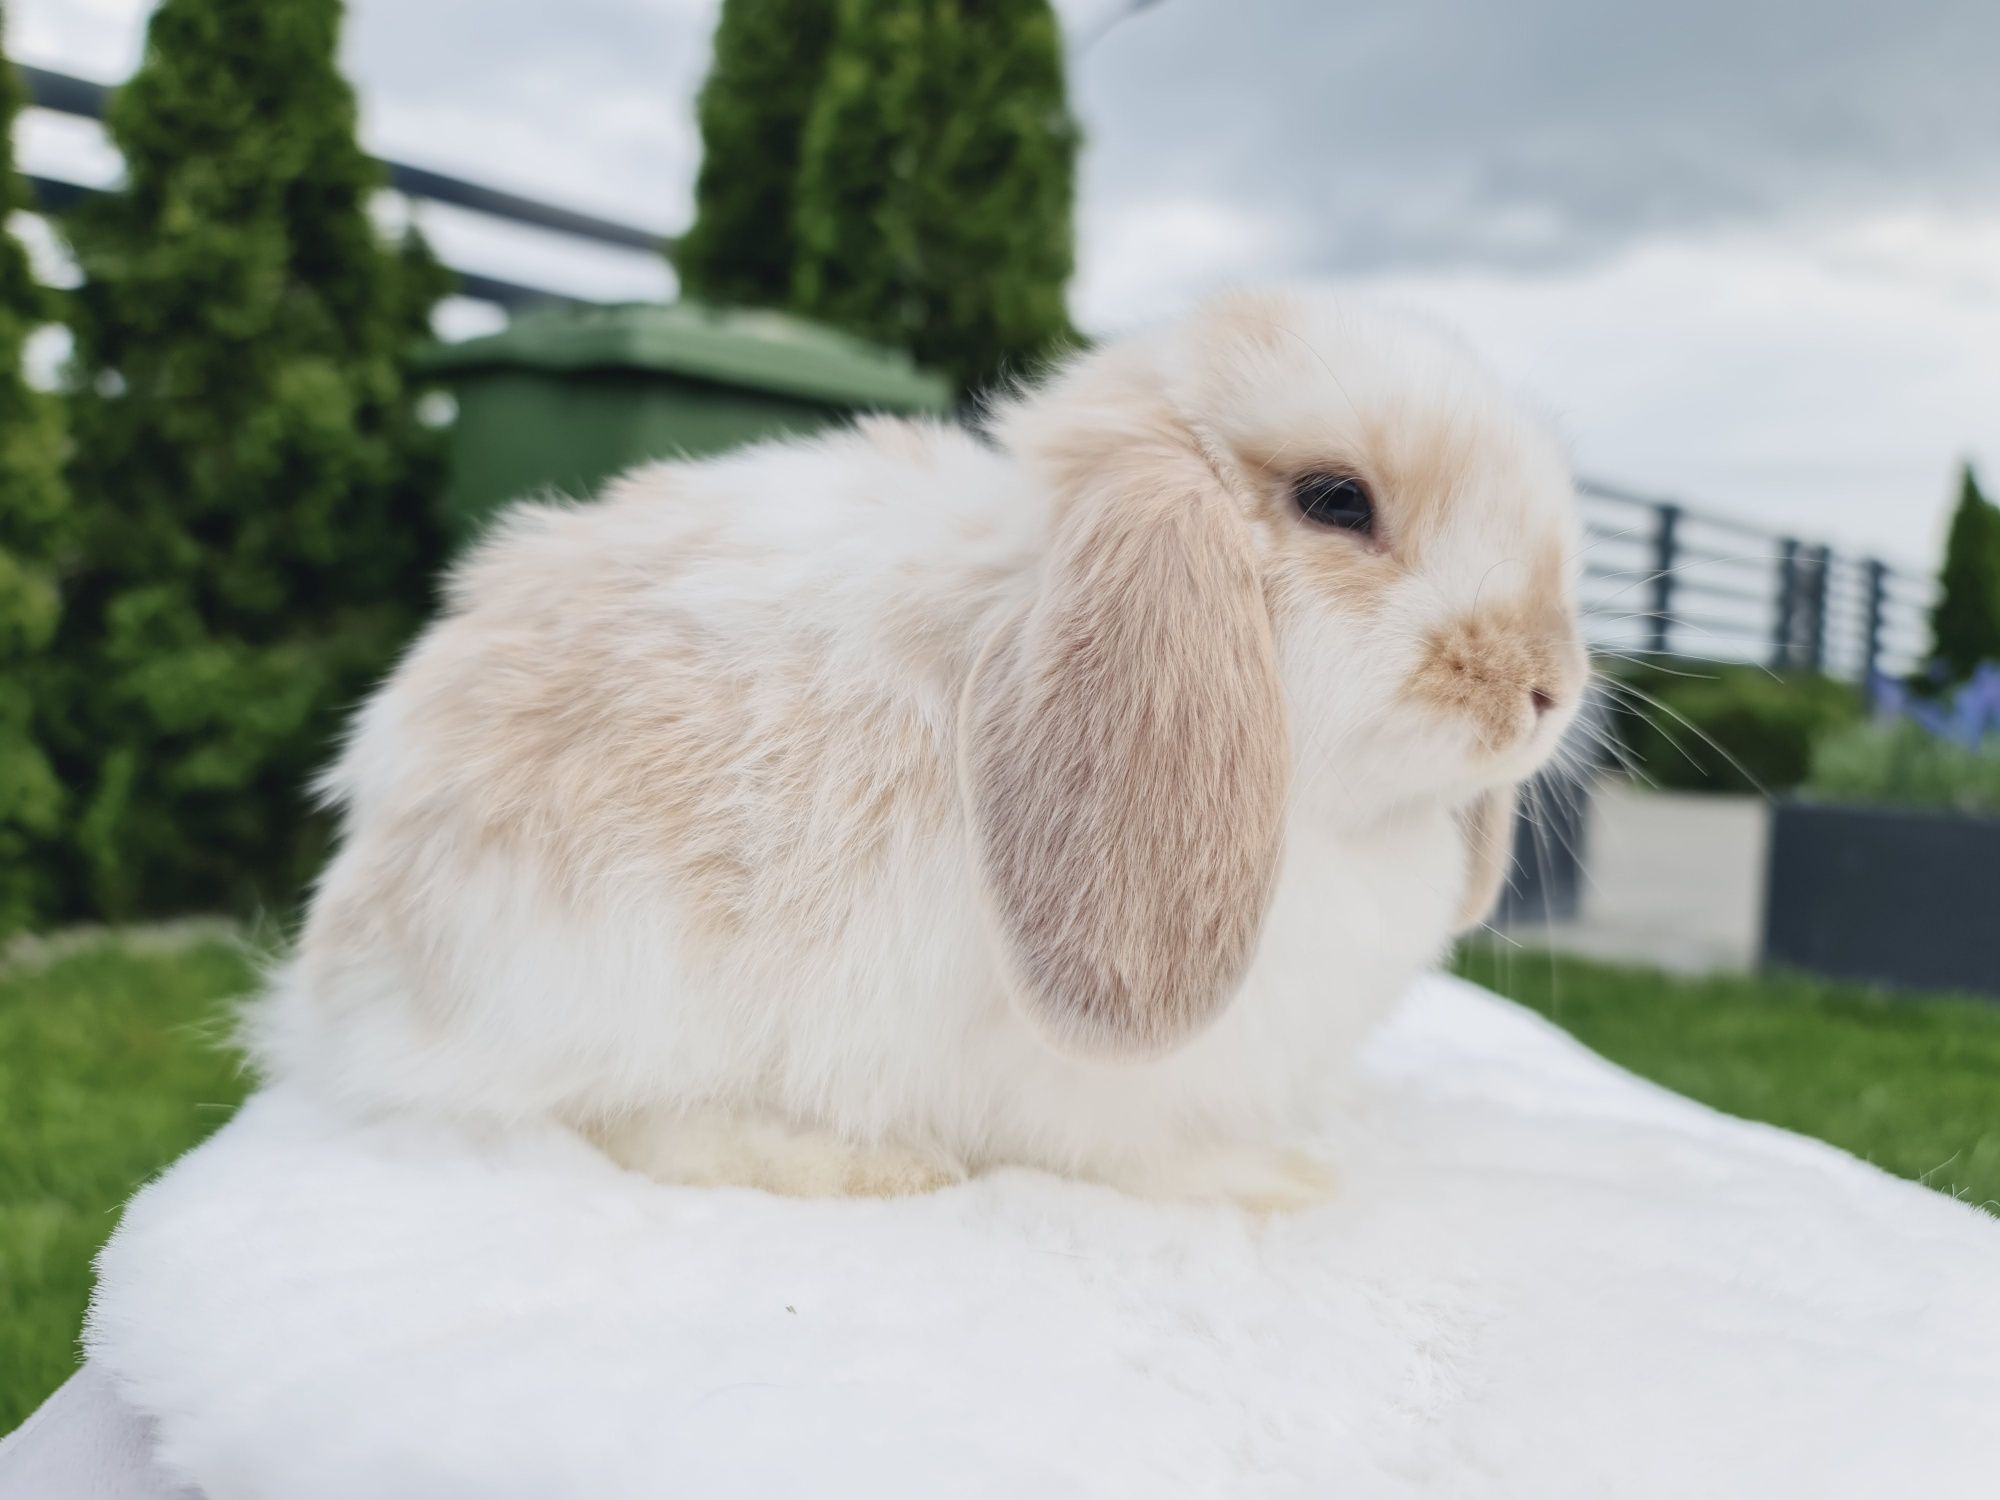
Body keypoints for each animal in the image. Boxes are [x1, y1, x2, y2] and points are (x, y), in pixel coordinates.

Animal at [254, 288, 1592, 1216]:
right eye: (1335, 501)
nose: (1547, 687)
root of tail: (342, 975)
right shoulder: (1101, 1091)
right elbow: (1144, 1156)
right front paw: (1265, 1182)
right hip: (606, 977)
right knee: (621, 1122)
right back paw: (849, 1165)